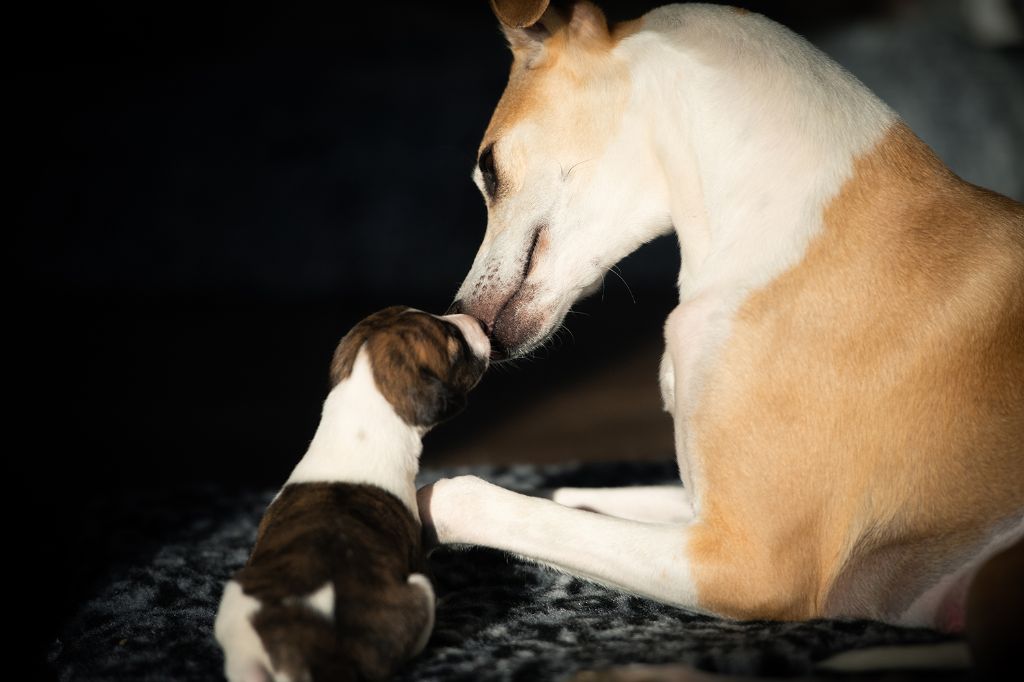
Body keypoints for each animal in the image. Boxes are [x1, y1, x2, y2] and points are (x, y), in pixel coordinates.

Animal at [417, 0, 1024, 634]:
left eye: (487, 167)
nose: (457, 316)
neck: (786, 223)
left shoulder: (748, 565)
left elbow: (468, 494)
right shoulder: (696, 510)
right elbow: (566, 496)